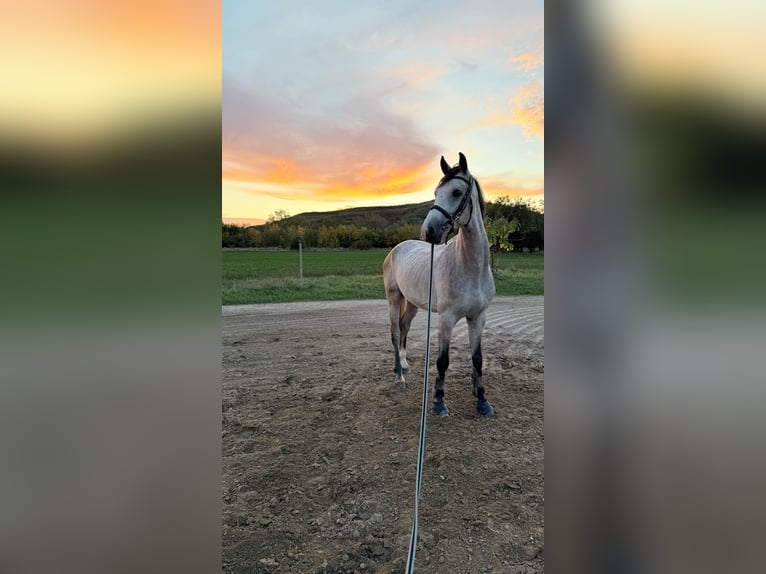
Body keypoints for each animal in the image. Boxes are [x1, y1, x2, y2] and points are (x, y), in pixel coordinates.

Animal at [384, 153, 498, 418]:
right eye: (436, 192)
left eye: (456, 192)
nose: (429, 230)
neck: (470, 267)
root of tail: (397, 248)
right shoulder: (446, 319)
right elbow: (443, 361)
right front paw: (438, 402)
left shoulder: (478, 317)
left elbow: (477, 358)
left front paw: (482, 400)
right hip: (394, 299)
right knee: (395, 332)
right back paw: (399, 377)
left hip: (412, 303)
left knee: (404, 327)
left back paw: (405, 364)